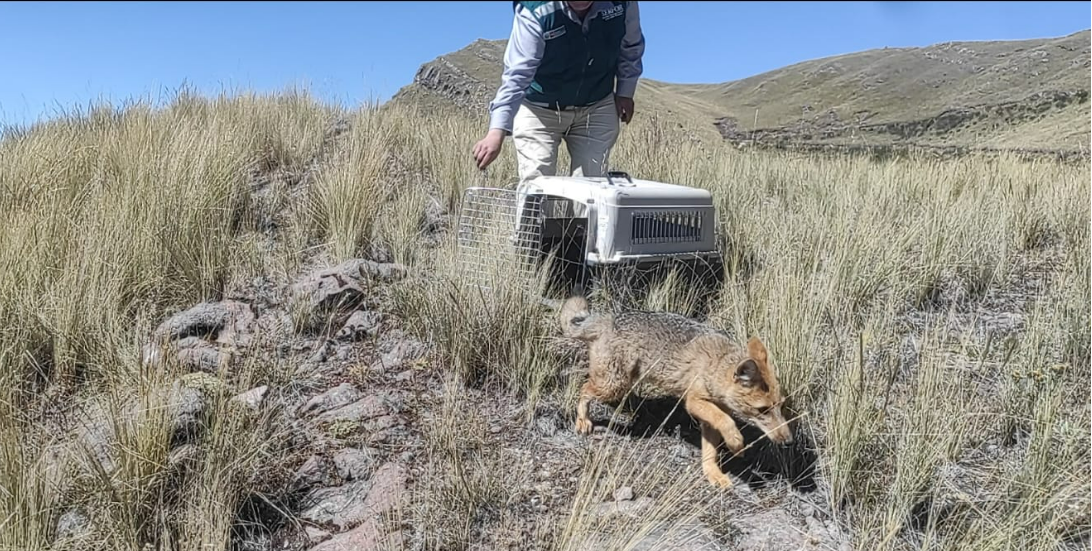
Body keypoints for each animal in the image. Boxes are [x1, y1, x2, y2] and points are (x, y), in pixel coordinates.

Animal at [559, 292, 793, 488]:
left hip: (620, 382)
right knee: (583, 389)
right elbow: (727, 420)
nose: (789, 441)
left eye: (781, 407)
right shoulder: (694, 402)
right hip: (612, 385)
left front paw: (713, 473)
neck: (717, 362)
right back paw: (583, 419)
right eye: (762, 410)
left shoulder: (710, 413)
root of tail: (609, 317)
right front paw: (736, 443)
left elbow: (711, 449)